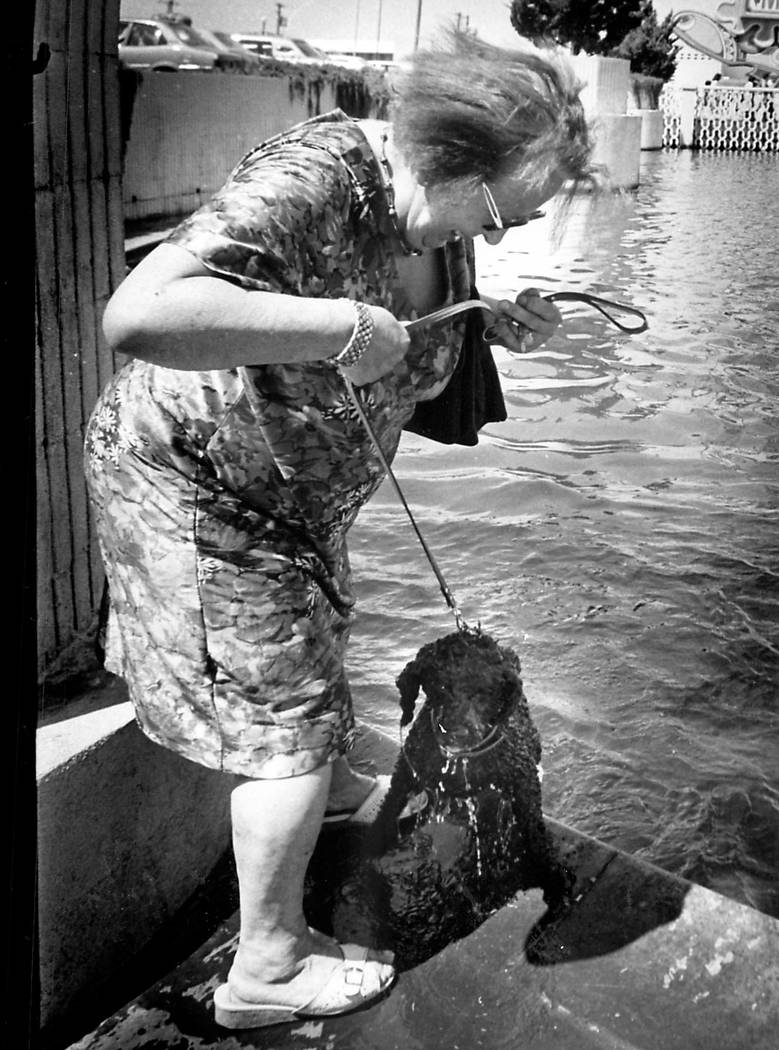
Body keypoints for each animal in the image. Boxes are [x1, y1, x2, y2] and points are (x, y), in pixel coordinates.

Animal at [304, 621, 566, 965]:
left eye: (486, 691)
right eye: (440, 687)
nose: (459, 732)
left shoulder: (523, 783)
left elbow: (536, 836)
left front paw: (553, 879)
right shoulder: (407, 772)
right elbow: (386, 815)